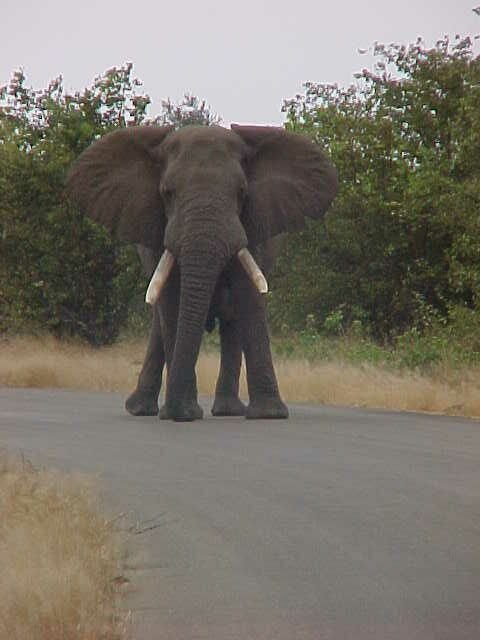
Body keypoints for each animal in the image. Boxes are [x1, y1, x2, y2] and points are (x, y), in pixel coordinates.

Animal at [66, 124, 338, 420]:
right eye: (167, 192)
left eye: (242, 192)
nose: (174, 412)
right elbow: (171, 302)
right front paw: (183, 413)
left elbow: (248, 296)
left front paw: (269, 415)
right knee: (160, 320)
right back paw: (141, 409)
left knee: (231, 319)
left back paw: (227, 411)